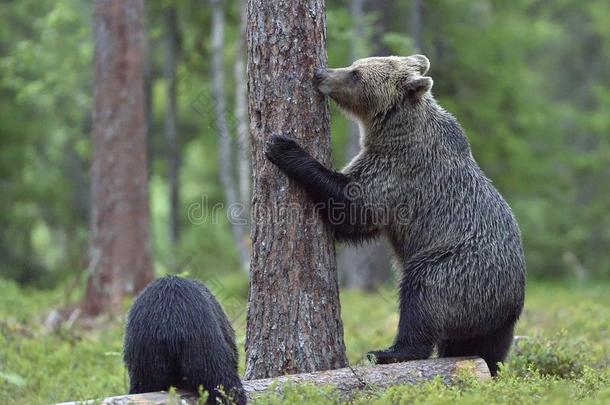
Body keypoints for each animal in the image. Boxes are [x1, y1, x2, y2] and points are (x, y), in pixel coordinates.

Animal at [264, 54, 524, 376]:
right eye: (355, 64)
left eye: (356, 74)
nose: (320, 74)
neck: (394, 129)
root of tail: (511, 300)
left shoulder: (399, 172)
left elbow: (353, 207)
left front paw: (283, 146)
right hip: (496, 322)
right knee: (484, 348)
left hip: (459, 270)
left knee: (422, 296)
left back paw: (388, 352)